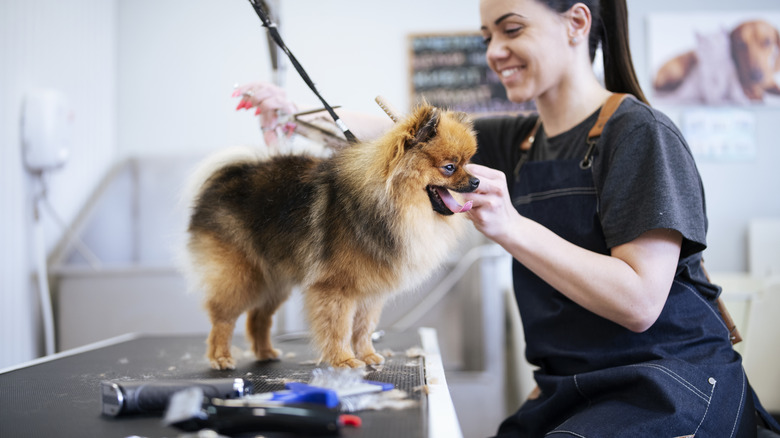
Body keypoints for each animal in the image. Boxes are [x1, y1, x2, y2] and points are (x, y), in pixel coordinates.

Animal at [186, 103, 478, 370]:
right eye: (450, 167)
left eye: (468, 163)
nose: (476, 181)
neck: (391, 204)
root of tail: (229, 175)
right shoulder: (335, 287)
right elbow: (338, 327)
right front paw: (344, 360)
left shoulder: (371, 291)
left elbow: (363, 327)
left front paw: (367, 355)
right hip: (240, 275)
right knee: (223, 317)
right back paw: (221, 356)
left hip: (274, 279)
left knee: (258, 316)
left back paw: (265, 352)